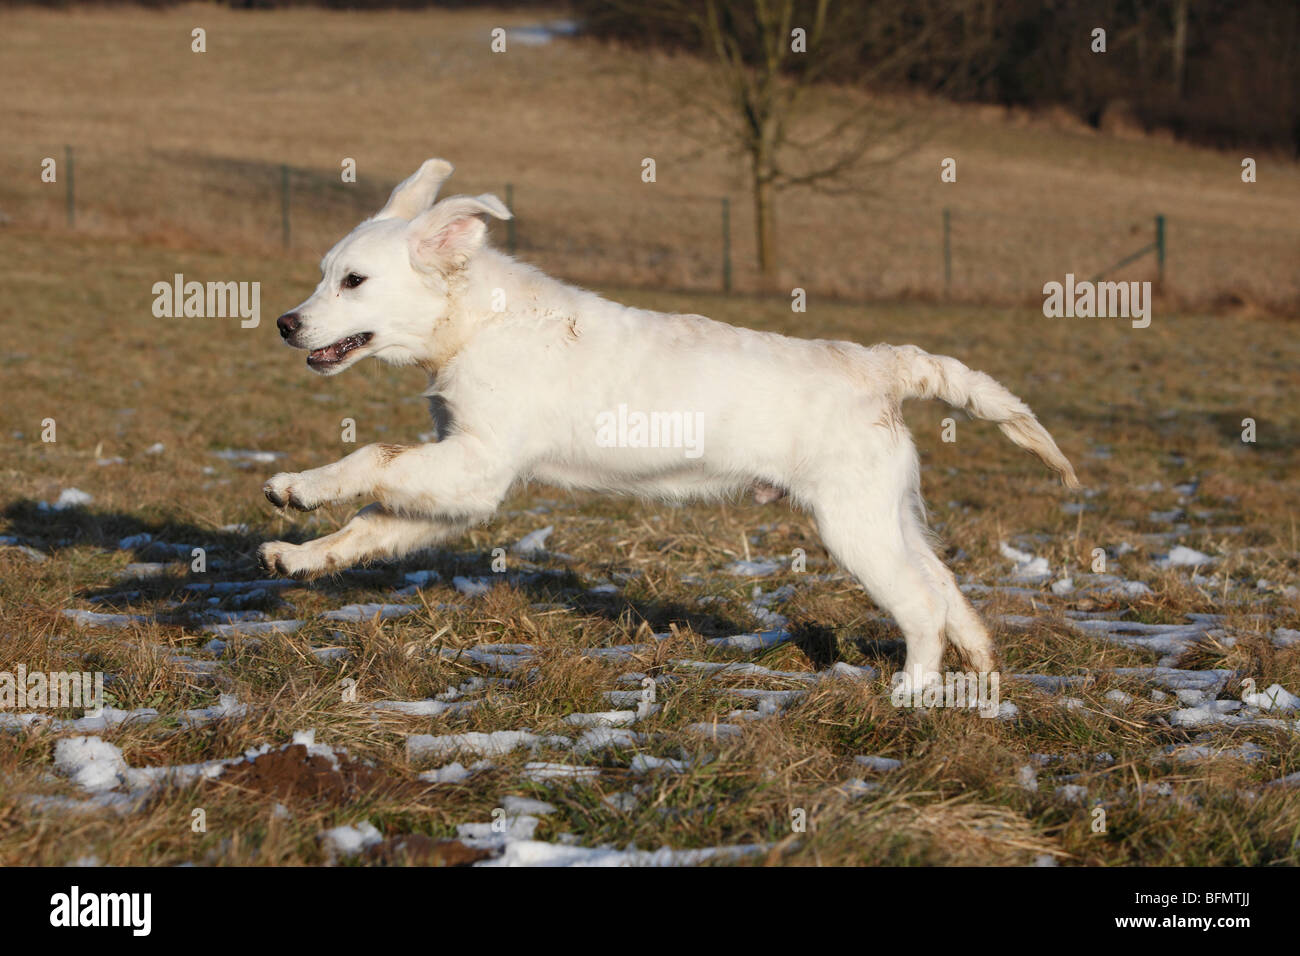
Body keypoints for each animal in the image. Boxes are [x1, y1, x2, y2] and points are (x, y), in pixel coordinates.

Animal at [256, 158, 1076, 686]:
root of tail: (880, 365)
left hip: (853, 524)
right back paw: (983, 684)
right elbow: (372, 522)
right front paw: (300, 557)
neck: (476, 323)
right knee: (947, 589)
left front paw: (298, 487)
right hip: (888, 511)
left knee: (921, 605)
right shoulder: (459, 482)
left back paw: (913, 694)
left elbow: (371, 461)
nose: (286, 324)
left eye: (354, 281)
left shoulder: (479, 466)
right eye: (326, 274)